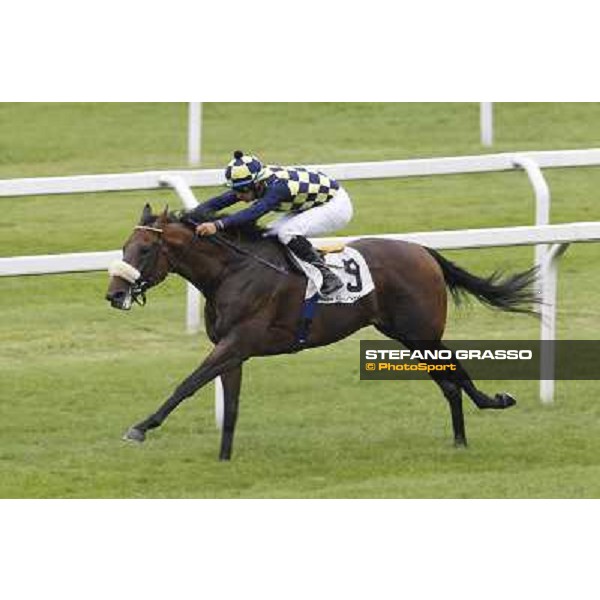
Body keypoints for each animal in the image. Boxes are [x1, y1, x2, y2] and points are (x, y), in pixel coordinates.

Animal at [104, 204, 540, 462]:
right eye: (124, 246)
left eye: (145, 250)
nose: (114, 293)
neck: (231, 272)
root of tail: (423, 251)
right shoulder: (234, 350)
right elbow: (231, 405)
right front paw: (224, 459)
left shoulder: (237, 342)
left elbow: (188, 383)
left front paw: (141, 427)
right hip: (404, 334)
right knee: (448, 382)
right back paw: (461, 438)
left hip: (421, 332)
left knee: (455, 372)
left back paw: (493, 402)